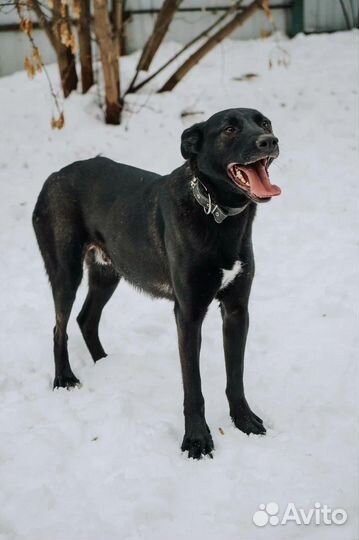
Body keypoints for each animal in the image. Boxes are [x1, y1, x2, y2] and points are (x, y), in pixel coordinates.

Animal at [33, 107, 282, 458]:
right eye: (229, 129)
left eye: (264, 122)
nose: (269, 141)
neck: (217, 213)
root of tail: (53, 176)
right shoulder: (188, 315)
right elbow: (193, 387)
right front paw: (196, 440)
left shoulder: (236, 310)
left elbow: (236, 376)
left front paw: (244, 421)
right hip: (66, 271)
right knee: (60, 327)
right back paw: (64, 378)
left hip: (108, 272)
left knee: (86, 319)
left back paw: (106, 365)